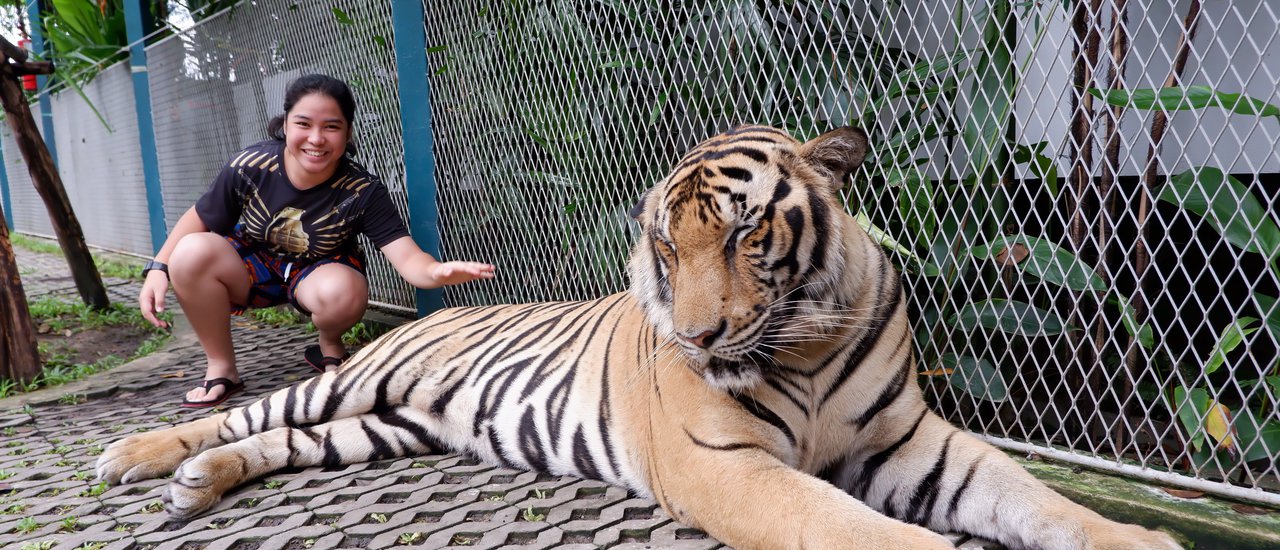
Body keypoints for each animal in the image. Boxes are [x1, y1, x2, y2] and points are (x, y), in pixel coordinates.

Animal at [96, 125, 1182, 550]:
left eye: (745, 234)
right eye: (666, 243)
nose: (699, 332)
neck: (803, 341)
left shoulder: (907, 438)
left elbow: (1037, 499)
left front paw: (1142, 537)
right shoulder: (725, 463)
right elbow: (851, 526)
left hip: (388, 425)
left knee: (283, 440)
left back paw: (197, 485)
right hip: (350, 385)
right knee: (251, 413)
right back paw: (141, 454)